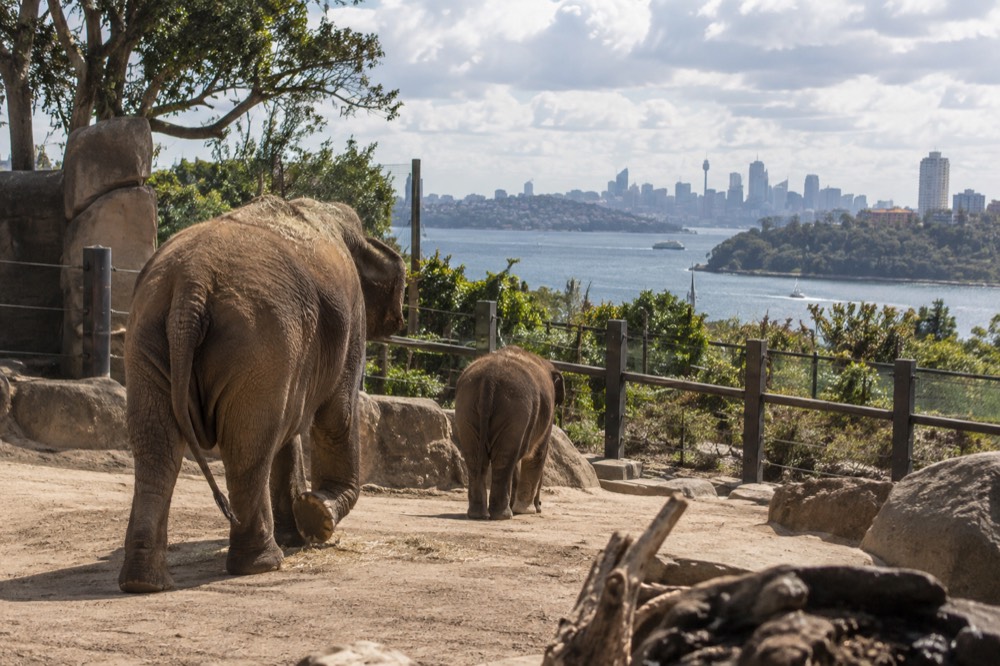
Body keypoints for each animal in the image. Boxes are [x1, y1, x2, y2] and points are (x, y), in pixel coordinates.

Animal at [118, 196, 405, 593]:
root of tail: (190, 287)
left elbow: (289, 432)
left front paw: (298, 528)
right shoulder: (351, 321)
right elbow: (336, 416)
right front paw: (315, 517)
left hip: (148, 334)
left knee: (157, 447)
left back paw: (144, 582)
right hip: (259, 340)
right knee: (248, 447)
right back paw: (263, 563)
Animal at [453, 346, 564, 520]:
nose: (540, 506)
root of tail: (489, 380)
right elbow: (537, 455)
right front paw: (526, 511)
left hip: (466, 405)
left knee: (476, 457)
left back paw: (478, 515)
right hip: (515, 409)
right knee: (504, 459)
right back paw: (504, 516)